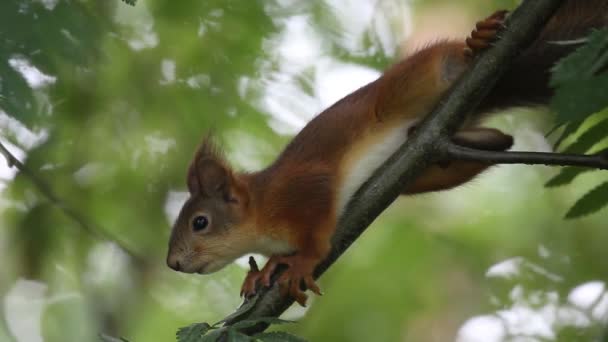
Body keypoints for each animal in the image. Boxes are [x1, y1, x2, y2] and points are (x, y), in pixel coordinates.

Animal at [165, 2, 608, 308]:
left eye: (200, 222)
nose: (173, 264)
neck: (261, 209)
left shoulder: (306, 188)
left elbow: (318, 231)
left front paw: (301, 262)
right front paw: (268, 268)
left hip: (410, 85)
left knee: (444, 62)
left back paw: (474, 44)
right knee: (500, 141)